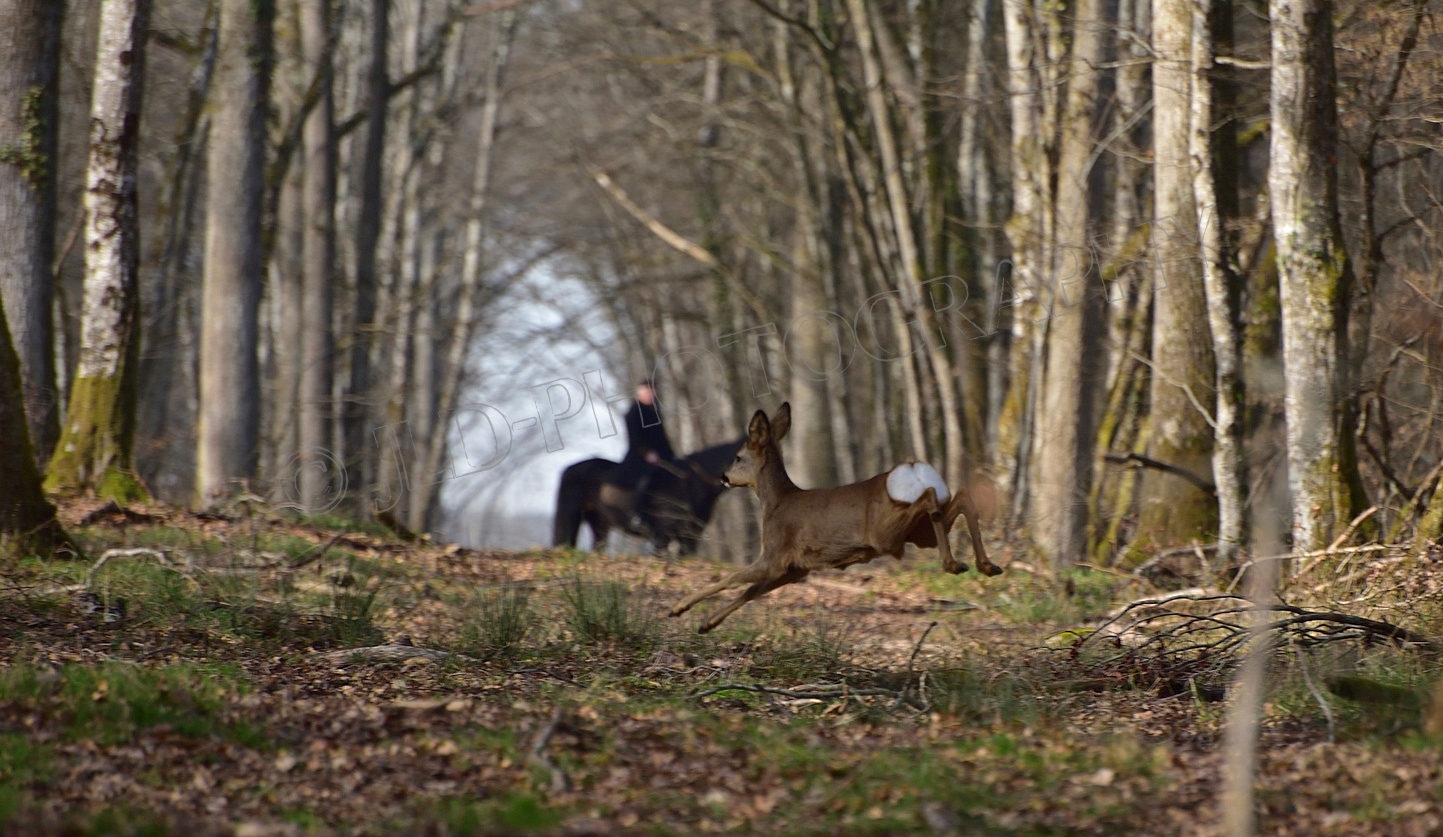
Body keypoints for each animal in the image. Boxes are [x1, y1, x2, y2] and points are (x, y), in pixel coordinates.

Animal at [551, 438, 744, 557]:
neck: (694, 483)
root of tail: (569, 469)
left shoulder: (690, 537)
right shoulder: (663, 536)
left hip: (599, 523)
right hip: (572, 516)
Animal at [666, 401, 998, 632]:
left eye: (737, 457)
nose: (723, 477)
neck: (776, 502)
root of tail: (914, 470)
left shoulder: (775, 555)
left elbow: (733, 578)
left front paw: (679, 608)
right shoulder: (796, 569)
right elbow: (750, 591)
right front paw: (705, 624)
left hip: (886, 533)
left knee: (931, 497)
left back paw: (955, 564)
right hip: (918, 533)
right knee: (959, 498)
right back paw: (985, 565)